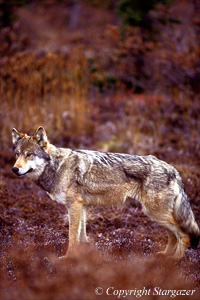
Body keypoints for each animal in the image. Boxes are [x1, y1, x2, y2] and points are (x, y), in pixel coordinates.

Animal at [11, 125, 199, 258]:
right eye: (17, 154)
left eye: (29, 154)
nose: (14, 169)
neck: (58, 167)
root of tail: (173, 169)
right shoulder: (81, 207)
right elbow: (81, 236)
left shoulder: (74, 206)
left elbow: (72, 237)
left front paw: (68, 258)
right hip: (157, 215)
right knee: (173, 235)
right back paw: (165, 257)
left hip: (155, 213)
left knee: (184, 235)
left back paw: (174, 261)